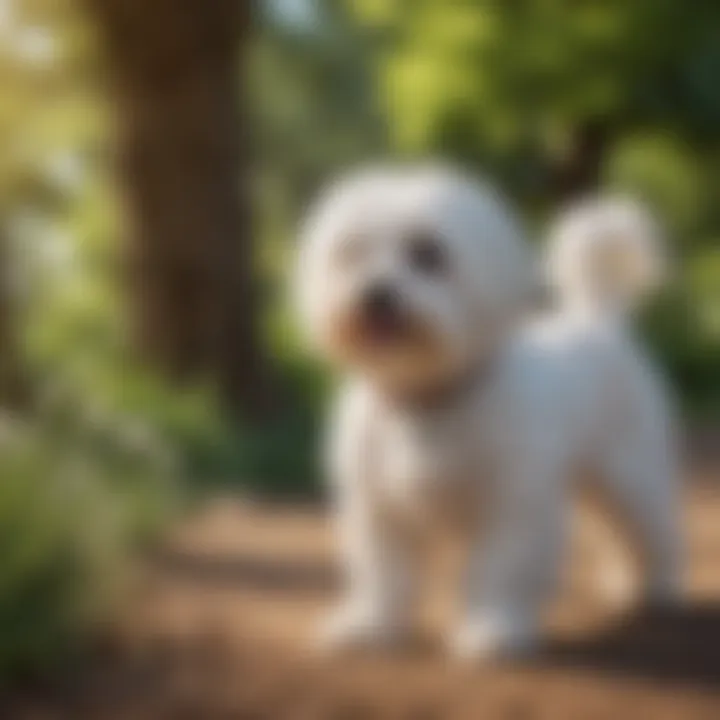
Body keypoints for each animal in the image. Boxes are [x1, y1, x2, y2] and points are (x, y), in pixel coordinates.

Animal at [296, 166, 684, 660]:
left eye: (428, 254)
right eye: (352, 253)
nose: (375, 293)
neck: (428, 398)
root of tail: (599, 317)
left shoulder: (512, 506)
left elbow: (500, 571)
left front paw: (493, 629)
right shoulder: (380, 511)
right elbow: (383, 575)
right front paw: (369, 626)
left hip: (628, 473)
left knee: (651, 529)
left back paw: (656, 586)